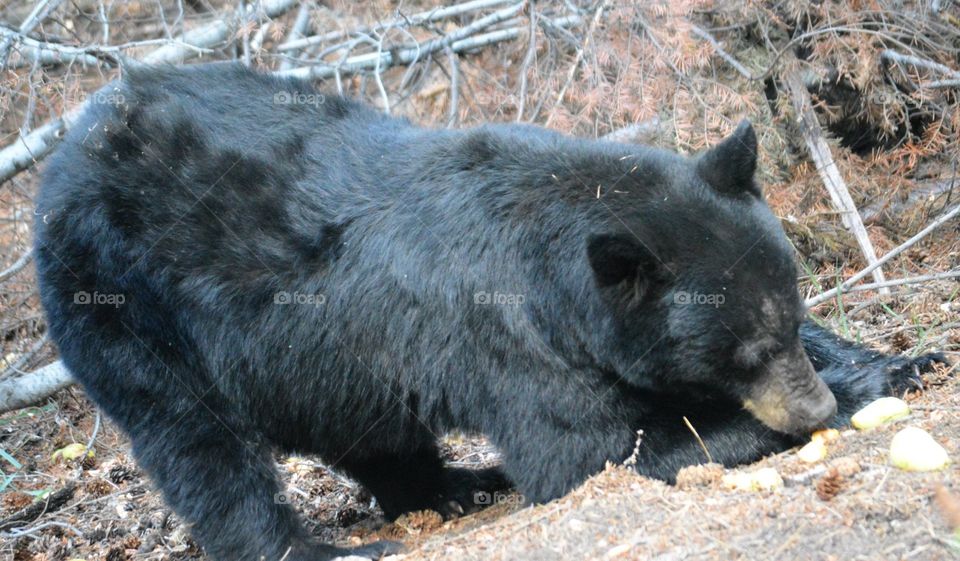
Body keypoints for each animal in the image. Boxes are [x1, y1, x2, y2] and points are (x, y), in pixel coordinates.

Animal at [34, 64, 944, 561]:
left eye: (788, 316)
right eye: (743, 350)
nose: (811, 407)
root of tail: (69, 143)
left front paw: (893, 360)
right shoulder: (509, 340)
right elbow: (595, 450)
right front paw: (844, 399)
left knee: (368, 426)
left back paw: (457, 483)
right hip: (124, 306)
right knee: (199, 445)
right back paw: (322, 541)